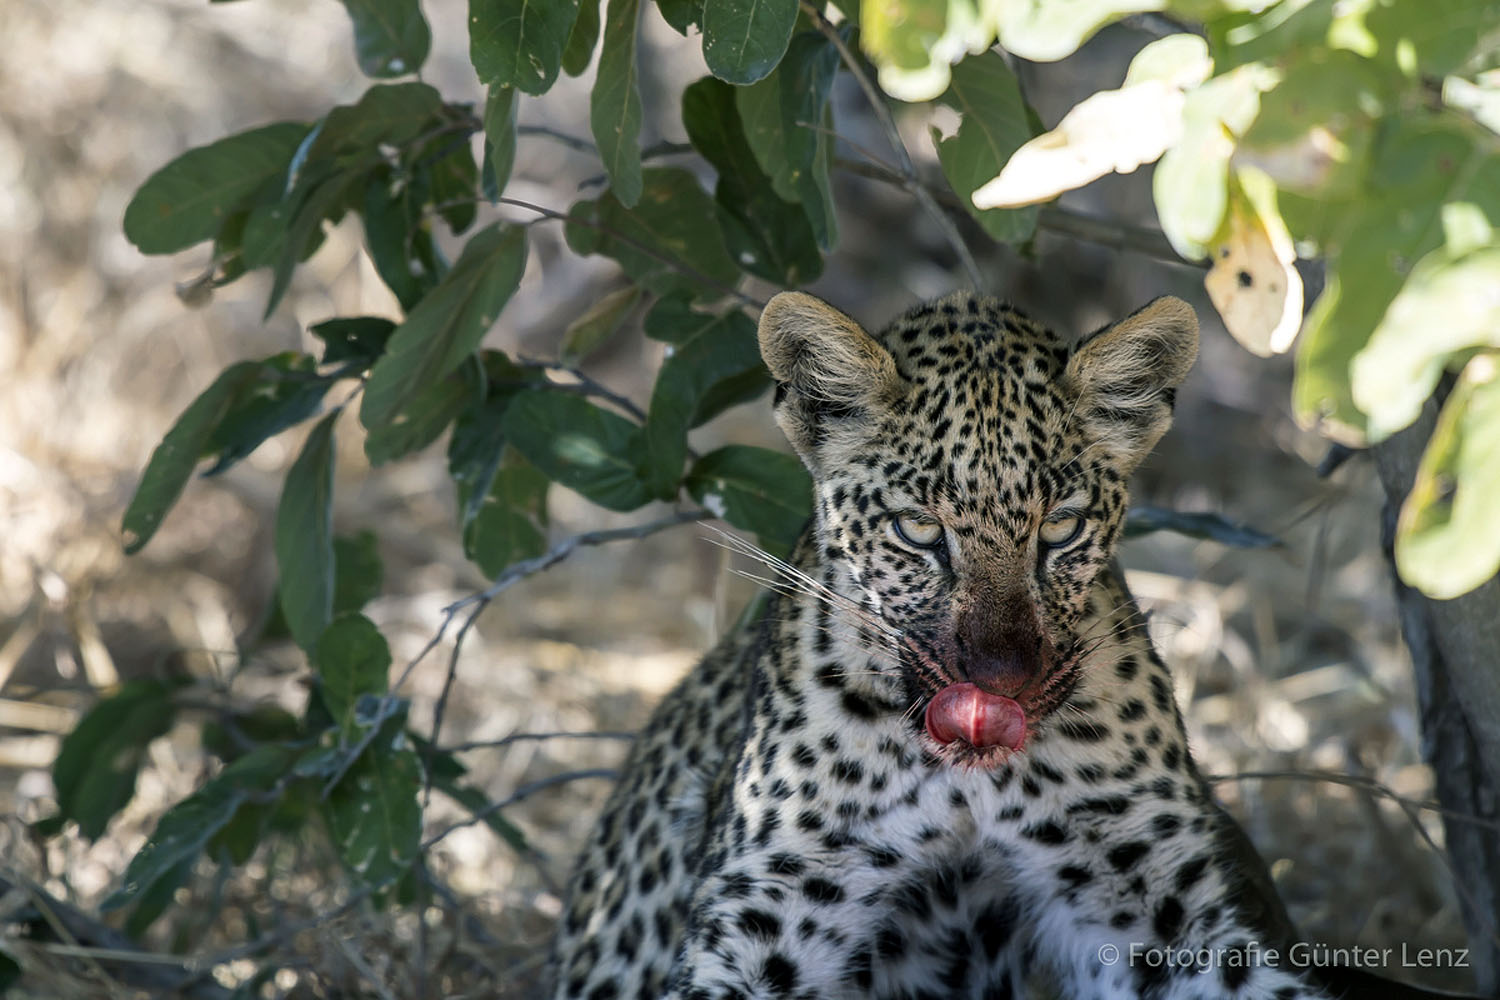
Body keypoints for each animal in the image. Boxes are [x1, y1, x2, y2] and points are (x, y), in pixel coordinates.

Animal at [547, 290, 1466, 1000]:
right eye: (919, 531)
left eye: (1058, 529)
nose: (1003, 682)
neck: (967, 788)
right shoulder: (772, 910)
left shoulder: (1163, 909)